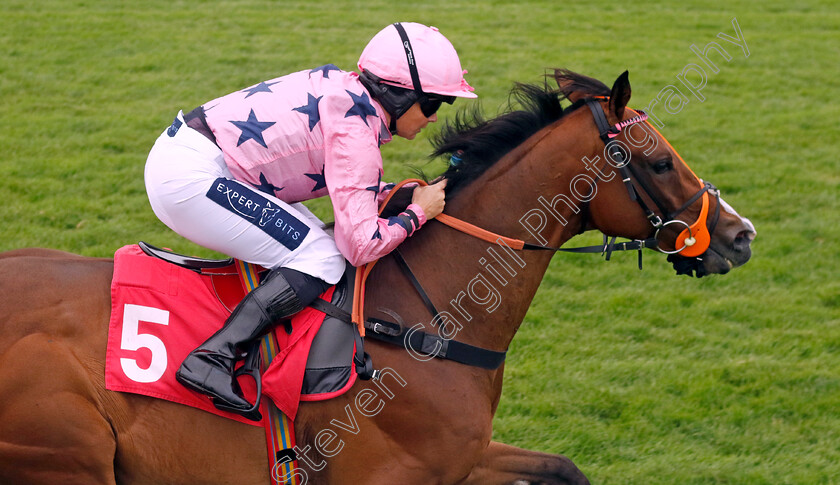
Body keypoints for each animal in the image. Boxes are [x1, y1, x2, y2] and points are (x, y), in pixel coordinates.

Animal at [0, 69, 756, 484]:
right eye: (658, 162)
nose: (739, 235)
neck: (424, 319)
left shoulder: (463, 463)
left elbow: (565, 469)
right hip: (67, 454)